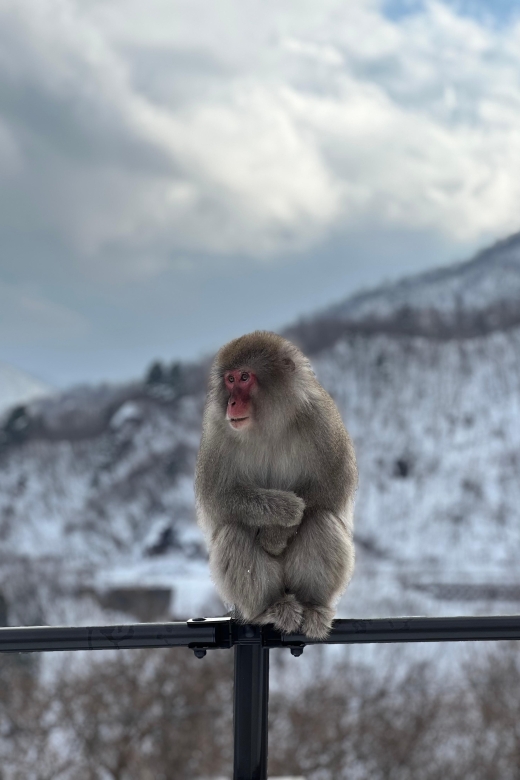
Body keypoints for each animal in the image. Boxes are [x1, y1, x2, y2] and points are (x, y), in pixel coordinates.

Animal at [195, 331, 357, 640]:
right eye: (230, 380)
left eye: (245, 377)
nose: (231, 403)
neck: (269, 423)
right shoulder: (217, 431)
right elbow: (218, 498)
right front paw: (285, 511)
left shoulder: (321, 418)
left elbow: (333, 484)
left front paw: (277, 535)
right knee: (232, 532)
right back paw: (269, 609)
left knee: (321, 519)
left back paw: (313, 606)